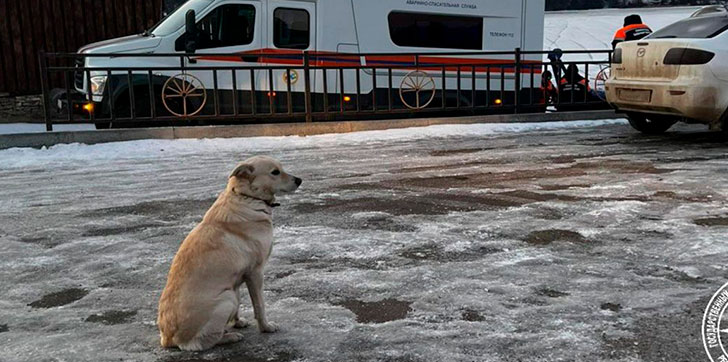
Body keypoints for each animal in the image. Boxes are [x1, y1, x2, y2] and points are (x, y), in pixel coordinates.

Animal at [156, 156, 302, 350]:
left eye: (281, 168)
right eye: (275, 172)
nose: (299, 180)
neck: (247, 197)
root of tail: (168, 339)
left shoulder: (237, 278)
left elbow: (241, 305)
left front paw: (237, 322)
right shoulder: (256, 272)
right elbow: (260, 306)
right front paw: (266, 327)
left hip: (230, 293)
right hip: (226, 298)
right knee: (200, 343)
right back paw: (230, 337)